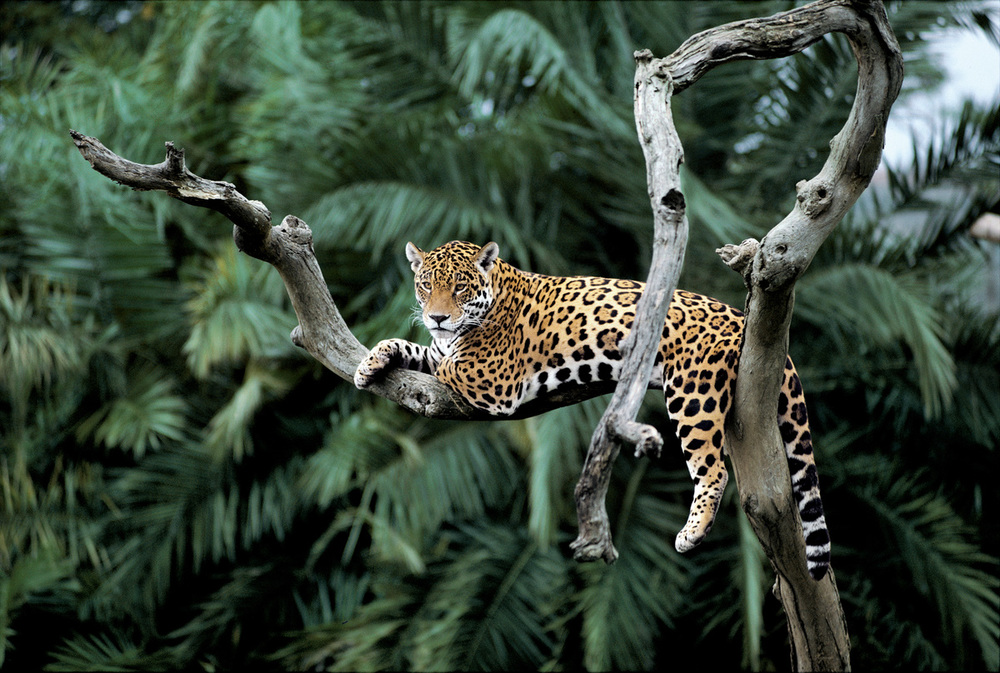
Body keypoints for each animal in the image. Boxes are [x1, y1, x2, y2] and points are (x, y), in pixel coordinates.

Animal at [355, 240, 831, 580]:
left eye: (460, 287)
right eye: (425, 286)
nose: (437, 317)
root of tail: (739, 316)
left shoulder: (491, 377)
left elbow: (447, 362)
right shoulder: (445, 350)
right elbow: (417, 349)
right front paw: (371, 362)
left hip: (692, 394)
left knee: (712, 469)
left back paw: (691, 533)